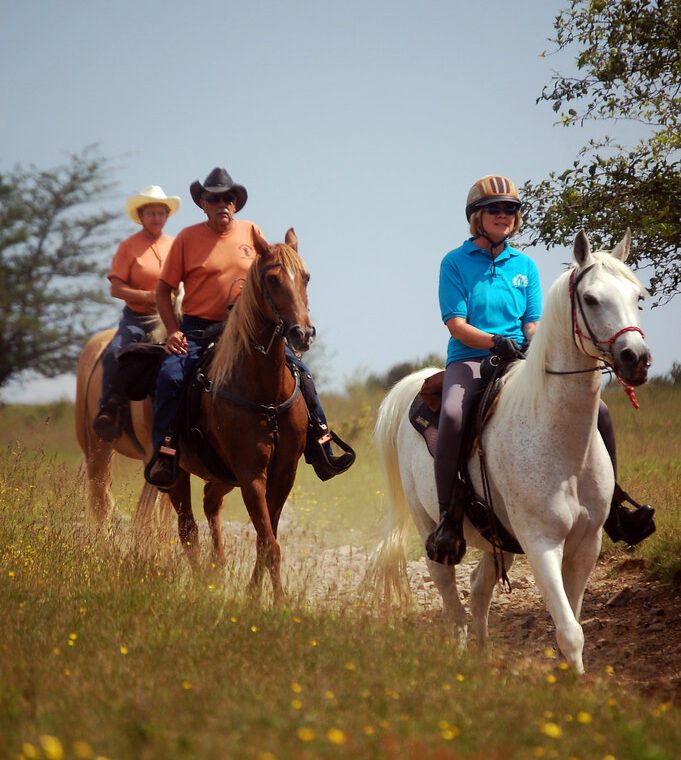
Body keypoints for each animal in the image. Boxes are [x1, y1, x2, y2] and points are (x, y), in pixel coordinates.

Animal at [370, 230, 652, 672]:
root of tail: (419, 383)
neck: (560, 441)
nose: (635, 359)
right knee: (449, 591)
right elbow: (570, 630)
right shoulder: (541, 543)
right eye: (591, 299)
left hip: (498, 539)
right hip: (427, 524)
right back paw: (461, 652)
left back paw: (484, 655)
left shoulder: (586, 543)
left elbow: (573, 621)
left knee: (479, 587)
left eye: (638, 297)